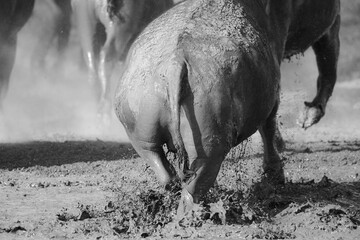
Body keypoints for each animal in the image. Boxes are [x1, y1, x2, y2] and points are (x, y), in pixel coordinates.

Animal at [114, 0, 340, 218]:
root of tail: (174, 63)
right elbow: (268, 126)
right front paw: (274, 176)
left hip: (141, 133)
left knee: (164, 171)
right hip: (210, 143)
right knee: (195, 186)